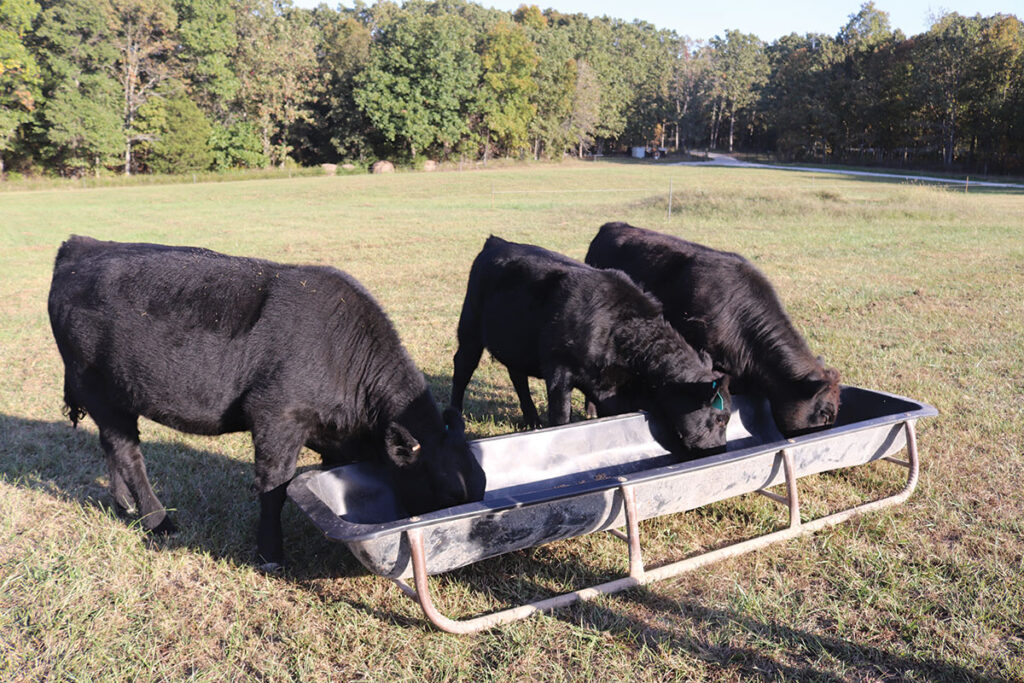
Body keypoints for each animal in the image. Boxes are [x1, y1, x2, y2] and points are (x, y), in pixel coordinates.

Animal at [49, 237, 489, 569]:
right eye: (449, 491)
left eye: (482, 483)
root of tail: (82, 245)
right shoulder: (276, 418)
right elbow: (274, 487)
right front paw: (270, 554)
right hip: (99, 388)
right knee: (128, 453)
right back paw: (157, 520)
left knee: (111, 446)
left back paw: (123, 503)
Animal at [448, 235, 729, 454]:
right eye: (720, 419)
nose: (720, 448)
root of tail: (497, 242)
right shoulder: (559, 370)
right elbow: (562, 417)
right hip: (469, 328)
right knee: (462, 369)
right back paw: (455, 420)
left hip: (515, 344)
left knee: (517, 376)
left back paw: (532, 419)